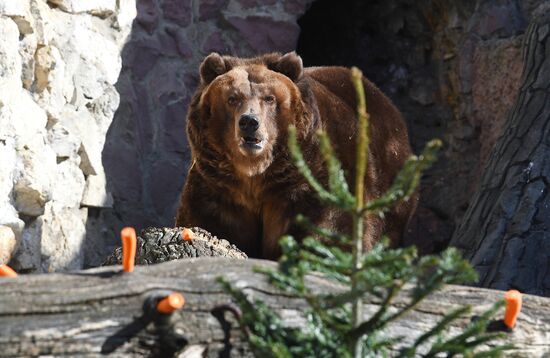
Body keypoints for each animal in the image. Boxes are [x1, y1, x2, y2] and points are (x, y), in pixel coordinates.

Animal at [177, 51, 418, 258]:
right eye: (232, 98)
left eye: (269, 98)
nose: (249, 122)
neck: (256, 174)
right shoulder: (219, 188)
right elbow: (211, 222)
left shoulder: (313, 179)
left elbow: (330, 226)